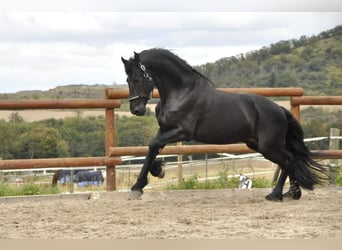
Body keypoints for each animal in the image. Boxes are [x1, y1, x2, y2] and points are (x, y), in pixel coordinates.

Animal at [121, 48, 332, 201]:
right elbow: (152, 149)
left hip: (268, 147)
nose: (136, 110)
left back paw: (276, 195)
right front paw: (156, 172)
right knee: (292, 159)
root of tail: (280, 109)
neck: (182, 92)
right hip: (259, 145)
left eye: (137, 79)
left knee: (289, 160)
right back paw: (293, 193)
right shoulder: (165, 129)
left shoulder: (182, 132)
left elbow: (153, 145)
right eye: (127, 80)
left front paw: (139, 186)